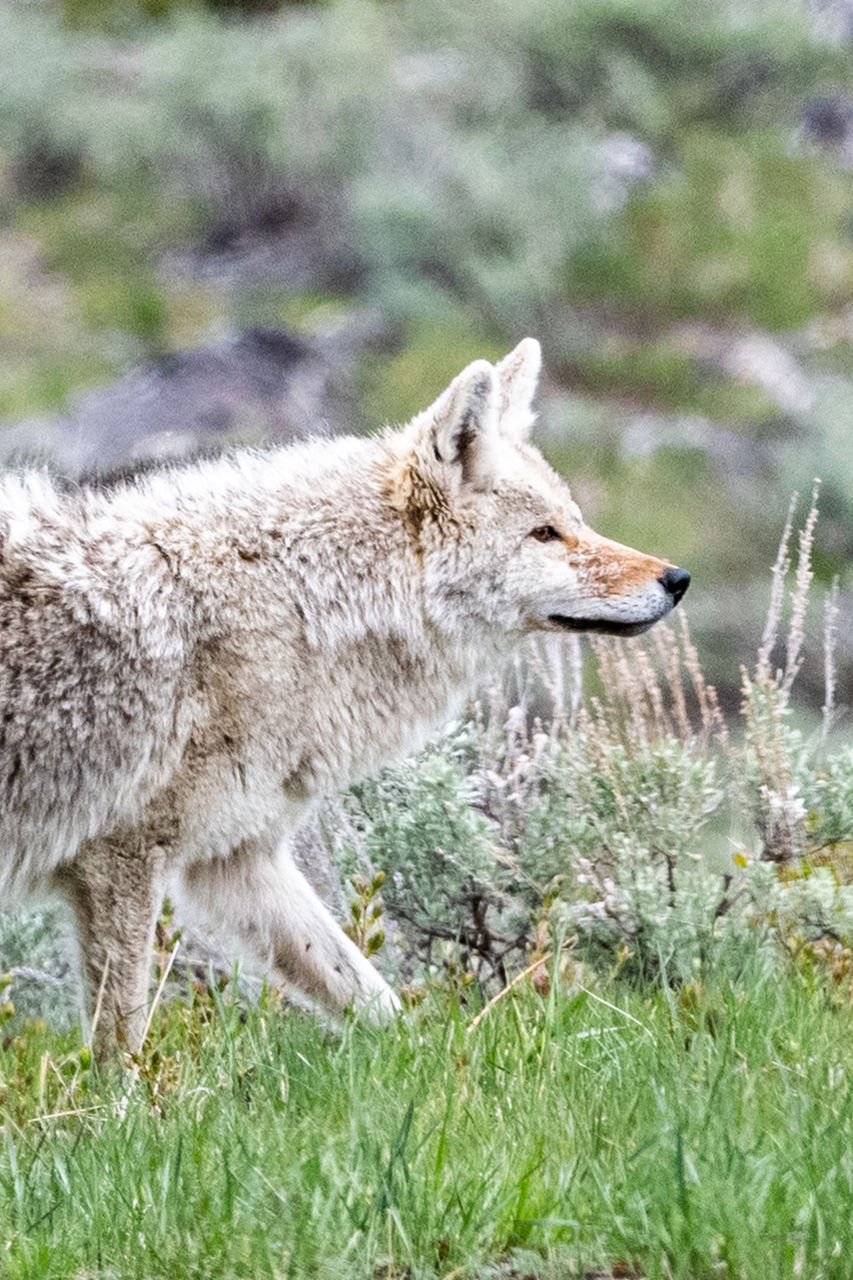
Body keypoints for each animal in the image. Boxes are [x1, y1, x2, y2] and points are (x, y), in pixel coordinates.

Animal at [0, 338, 688, 1054]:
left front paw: (431, 1062)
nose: (678, 579)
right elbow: (121, 1047)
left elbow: (367, 991)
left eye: (575, 521)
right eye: (545, 534)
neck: (301, 606)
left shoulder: (238, 859)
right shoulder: (119, 861)